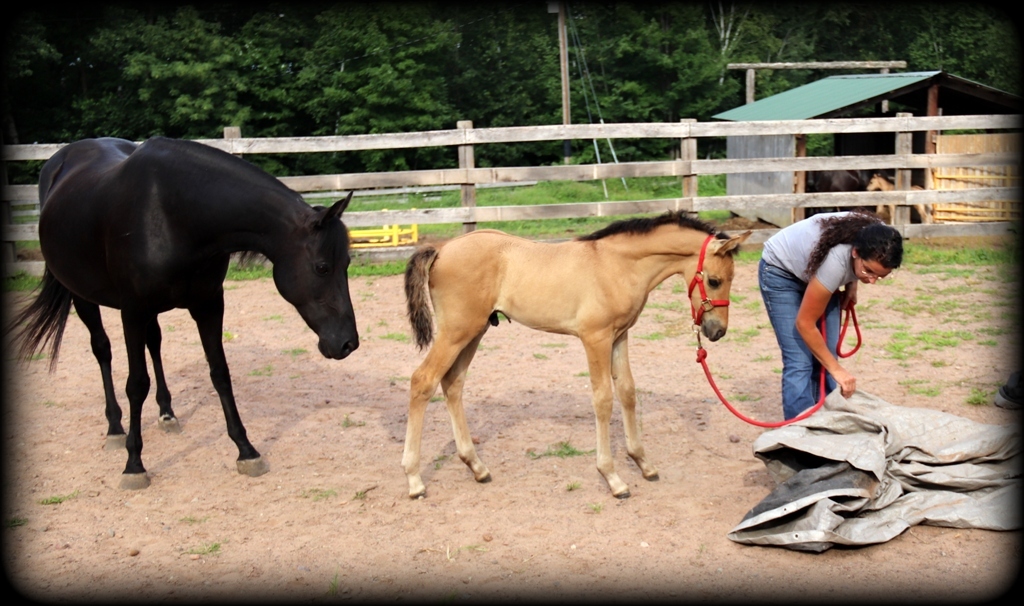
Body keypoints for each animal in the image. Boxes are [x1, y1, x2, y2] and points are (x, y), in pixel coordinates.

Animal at [6, 136, 360, 487]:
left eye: (347, 263)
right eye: (322, 267)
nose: (347, 343)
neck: (174, 214)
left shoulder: (208, 304)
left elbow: (220, 373)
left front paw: (246, 450)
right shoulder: (132, 311)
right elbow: (136, 383)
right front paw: (134, 464)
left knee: (154, 344)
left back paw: (167, 413)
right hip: (84, 298)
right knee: (103, 350)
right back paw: (116, 428)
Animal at [401, 211, 753, 497]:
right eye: (714, 280)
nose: (717, 331)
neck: (617, 265)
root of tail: (442, 249)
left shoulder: (620, 336)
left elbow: (627, 392)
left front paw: (643, 463)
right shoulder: (595, 338)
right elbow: (603, 399)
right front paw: (613, 478)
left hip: (474, 332)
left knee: (452, 384)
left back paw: (477, 467)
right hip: (456, 332)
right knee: (423, 380)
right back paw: (414, 479)